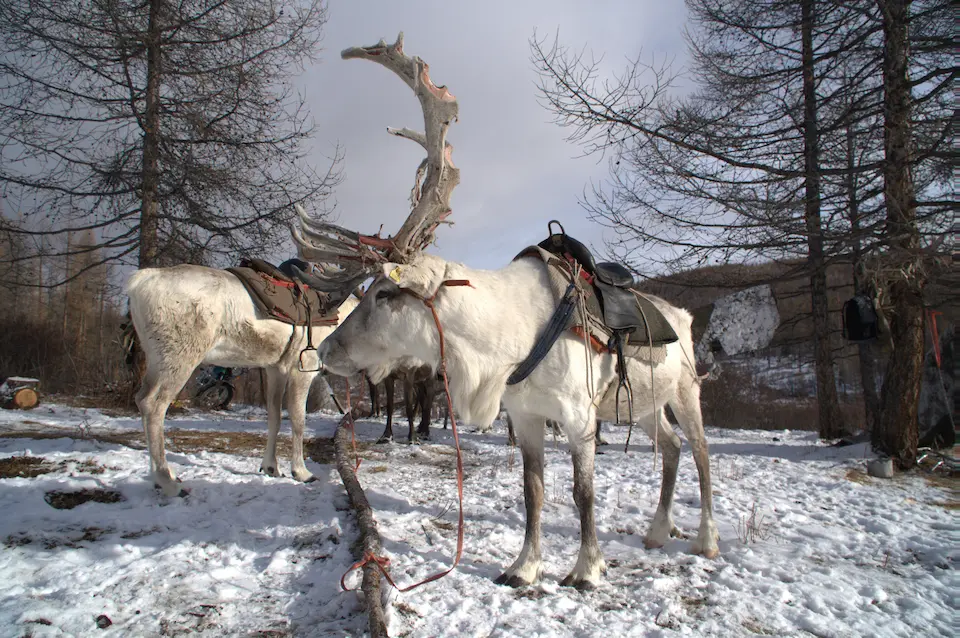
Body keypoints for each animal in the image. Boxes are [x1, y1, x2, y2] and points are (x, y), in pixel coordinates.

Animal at [126, 263, 360, 497]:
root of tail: (137, 282)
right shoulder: (302, 366)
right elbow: (298, 419)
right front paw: (301, 472)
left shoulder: (275, 368)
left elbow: (274, 417)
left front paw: (271, 467)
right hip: (180, 356)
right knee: (153, 405)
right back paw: (168, 481)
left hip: (157, 359)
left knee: (140, 398)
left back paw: (161, 477)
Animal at [293, 34, 719, 590]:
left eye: (385, 293)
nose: (326, 349)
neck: (502, 346)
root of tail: (684, 318)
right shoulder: (526, 415)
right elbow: (532, 491)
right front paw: (524, 566)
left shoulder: (579, 416)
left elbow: (583, 493)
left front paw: (587, 568)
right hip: (642, 404)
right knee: (669, 448)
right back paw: (656, 531)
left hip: (686, 391)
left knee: (701, 453)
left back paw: (706, 538)